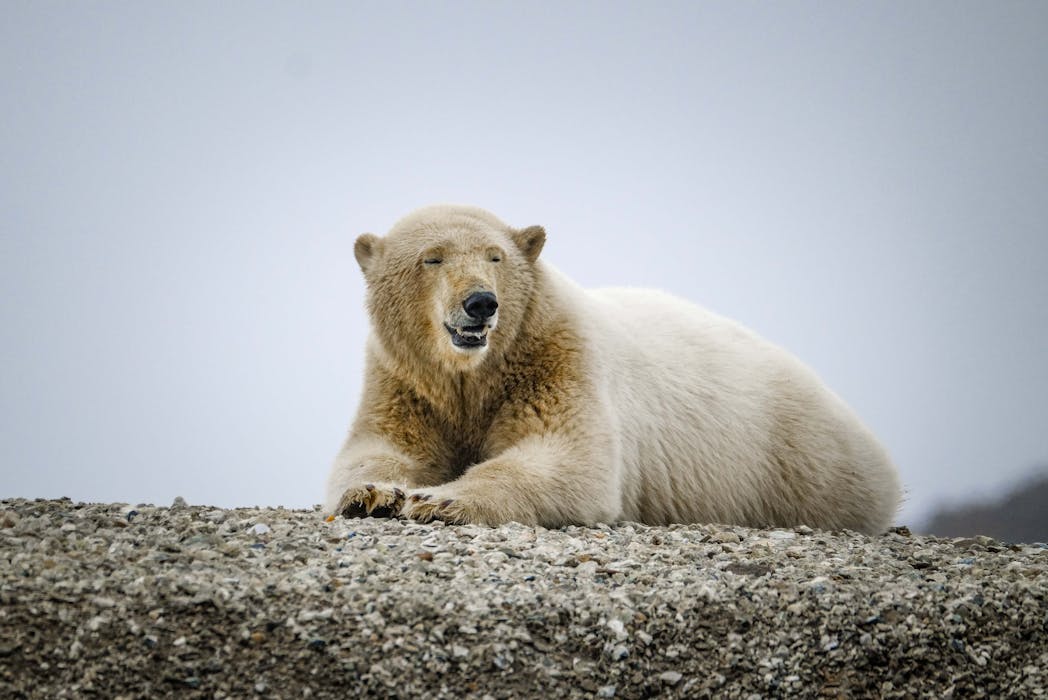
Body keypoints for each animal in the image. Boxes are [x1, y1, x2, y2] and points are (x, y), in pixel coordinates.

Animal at [324, 204, 902, 534]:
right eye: (433, 257)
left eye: (495, 256)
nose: (481, 303)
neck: (476, 373)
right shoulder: (405, 380)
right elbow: (381, 448)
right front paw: (375, 495)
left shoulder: (557, 358)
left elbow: (568, 457)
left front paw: (438, 499)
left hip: (794, 459)